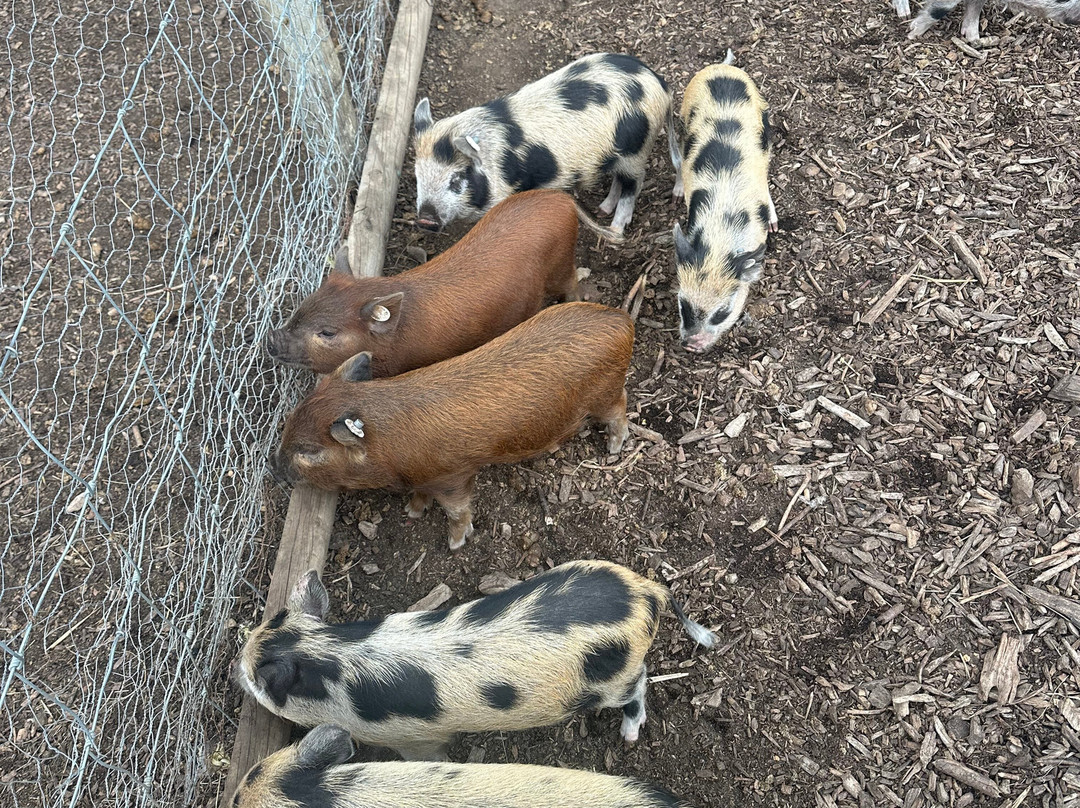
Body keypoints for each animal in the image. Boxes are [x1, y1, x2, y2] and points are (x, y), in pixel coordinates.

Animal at [233, 561, 718, 762]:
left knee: (640, 685)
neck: (329, 658)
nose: (235, 669)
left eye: (258, 681)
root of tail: (649, 592)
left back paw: (629, 735)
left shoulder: (411, 737)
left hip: (612, 680)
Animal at [264, 190, 580, 376]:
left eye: (328, 332)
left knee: (571, 279)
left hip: (562, 263)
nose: (271, 338)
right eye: (302, 307)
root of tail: (563, 198)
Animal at [270, 302, 633, 550]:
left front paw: (455, 543)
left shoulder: (454, 476)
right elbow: (421, 496)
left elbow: (458, 511)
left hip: (606, 395)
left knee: (621, 409)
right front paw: (413, 511)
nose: (272, 468)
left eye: (309, 451)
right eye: (288, 423)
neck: (389, 449)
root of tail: (622, 321)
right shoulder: (424, 478)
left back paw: (613, 449)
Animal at [411, 53, 673, 237]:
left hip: (635, 151)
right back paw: (602, 209)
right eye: (417, 176)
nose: (425, 219)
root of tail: (658, 82)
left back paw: (616, 229)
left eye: (456, 179)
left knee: (634, 183)